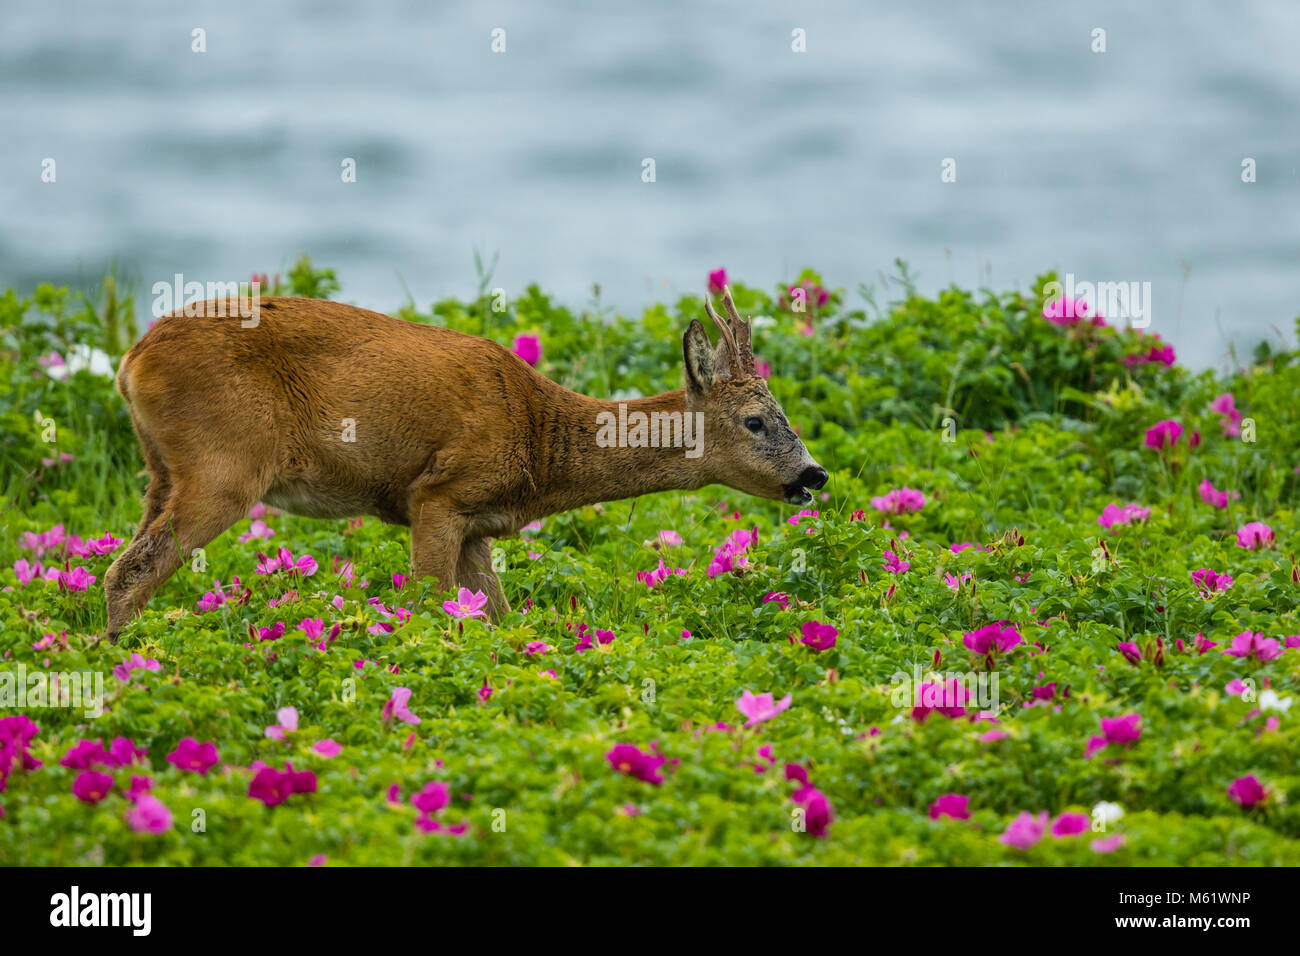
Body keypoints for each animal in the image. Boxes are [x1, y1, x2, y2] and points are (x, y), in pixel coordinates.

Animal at [103, 287, 828, 641]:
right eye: (756, 421)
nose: (814, 475)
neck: (540, 440)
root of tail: (131, 359)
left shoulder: (479, 523)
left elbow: (498, 616)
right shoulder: (440, 495)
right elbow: (426, 603)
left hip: (162, 468)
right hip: (225, 463)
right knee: (130, 568)